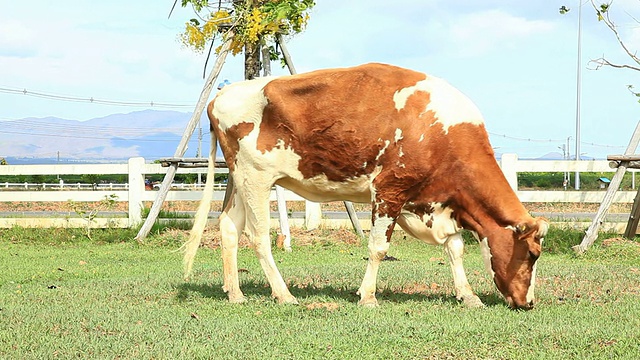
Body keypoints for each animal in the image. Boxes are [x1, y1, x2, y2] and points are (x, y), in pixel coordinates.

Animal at [181, 62, 552, 310]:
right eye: (532, 254)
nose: (529, 303)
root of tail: (224, 93)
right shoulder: (389, 191)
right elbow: (378, 248)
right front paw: (368, 296)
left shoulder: (438, 203)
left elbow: (455, 248)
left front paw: (468, 295)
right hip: (256, 177)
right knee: (258, 236)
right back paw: (284, 294)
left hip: (239, 179)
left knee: (229, 226)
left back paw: (236, 293)